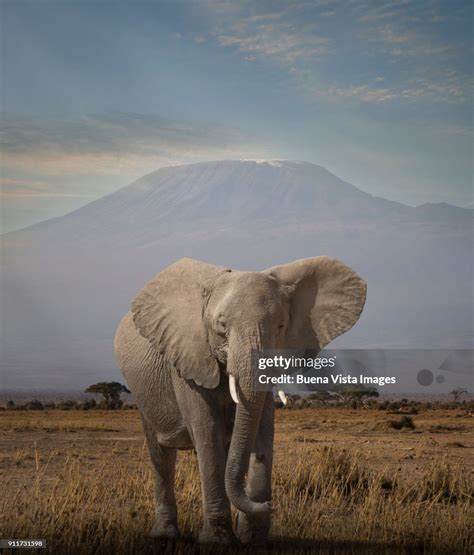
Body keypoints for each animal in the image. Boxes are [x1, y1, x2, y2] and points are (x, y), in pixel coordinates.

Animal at [115, 258, 366, 544]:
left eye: (280, 326)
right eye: (221, 326)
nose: (271, 504)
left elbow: (262, 427)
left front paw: (253, 540)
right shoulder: (188, 357)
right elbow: (207, 431)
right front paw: (217, 543)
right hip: (144, 396)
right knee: (161, 455)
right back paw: (165, 536)